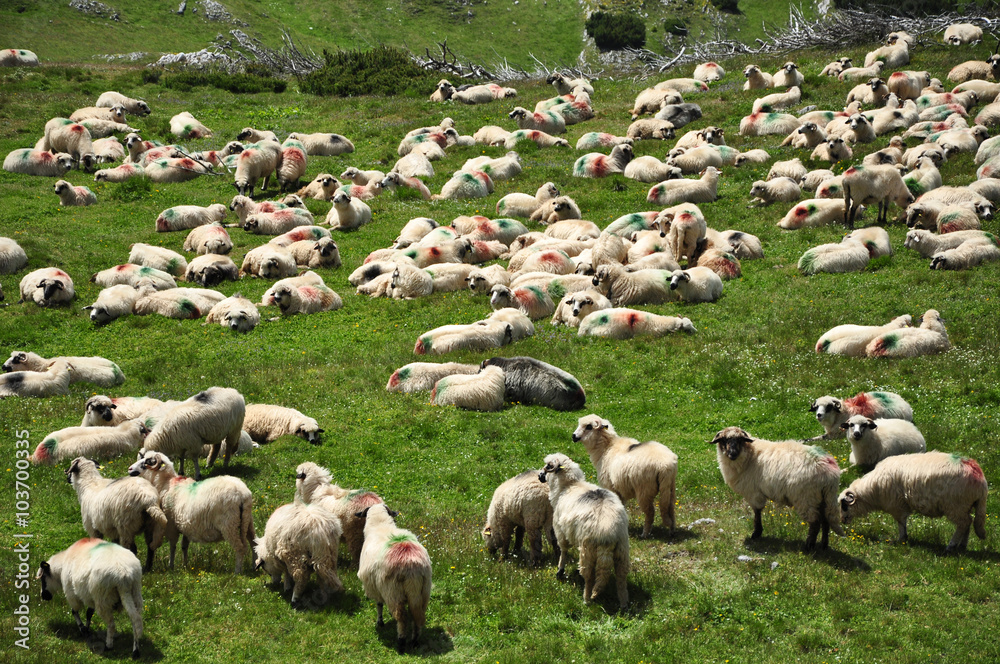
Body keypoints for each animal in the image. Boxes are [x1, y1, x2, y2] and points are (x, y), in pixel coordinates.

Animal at [356, 504, 432, 653]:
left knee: (402, 617)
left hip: (392, 591)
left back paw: (401, 643)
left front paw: (380, 622)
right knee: (417, 615)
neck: (380, 524)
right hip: (423, 591)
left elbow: (379, 604)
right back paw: (415, 641)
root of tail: (412, 566)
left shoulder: (377, 586)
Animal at [538, 453, 629, 608]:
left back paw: (586, 599)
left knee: (589, 577)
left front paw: (560, 571)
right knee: (621, 578)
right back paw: (623, 603)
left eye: (548, 466)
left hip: (588, 549)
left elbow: (563, 551)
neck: (569, 485)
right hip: (622, 549)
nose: (539, 475)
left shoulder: (560, 531)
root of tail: (608, 534)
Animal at [711, 426, 844, 551]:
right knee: (826, 521)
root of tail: (829, 471)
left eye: (739, 440)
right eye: (724, 440)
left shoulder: (754, 493)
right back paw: (824, 545)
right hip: (823, 498)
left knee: (815, 522)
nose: (732, 454)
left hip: (806, 498)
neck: (749, 455)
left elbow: (757, 512)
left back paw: (808, 547)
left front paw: (756, 533)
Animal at [839, 452, 988, 551]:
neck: (871, 491)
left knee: (964, 523)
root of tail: (978, 474)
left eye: (844, 506)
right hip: (966, 505)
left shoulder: (897, 506)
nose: (842, 521)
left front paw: (901, 539)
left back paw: (951, 546)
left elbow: (901, 523)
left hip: (955, 505)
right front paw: (904, 538)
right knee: (968, 522)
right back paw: (962, 546)